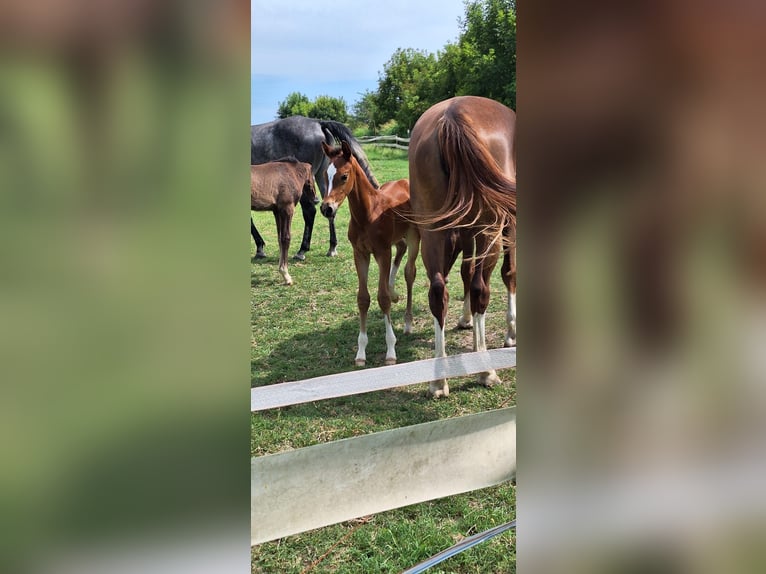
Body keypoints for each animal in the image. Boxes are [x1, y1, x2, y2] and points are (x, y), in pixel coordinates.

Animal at [250, 116, 380, 260]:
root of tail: (318, 122)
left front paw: (259, 247)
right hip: (323, 178)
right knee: (330, 209)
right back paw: (332, 247)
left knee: (310, 212)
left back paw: (302, 250)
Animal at [250, 158, 314, 286]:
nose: (316, 199)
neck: (291, 172)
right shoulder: (287, 209)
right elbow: (286, 238)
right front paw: (286, 275)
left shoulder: (277, 211)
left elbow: (280, 239)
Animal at [320, 140, 424, 366]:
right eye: (325, 174)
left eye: (344, 176)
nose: (326, 209)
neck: (368, 214)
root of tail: (405, 181)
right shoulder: (360, 253)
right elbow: (363, 298)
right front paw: (360, 353)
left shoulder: (382, 252)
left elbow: (382, 298)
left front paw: (391, 350)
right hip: (396, 239)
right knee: (400, 250)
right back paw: (394, 292)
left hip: (414, 235)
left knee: (409, 271)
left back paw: (408, 322)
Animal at [408, 95, 516, 400]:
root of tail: (452, 116)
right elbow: (508, 273)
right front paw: (511, 332)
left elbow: (466, 272)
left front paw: (465, 319)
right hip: (490, 229)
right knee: (481, 288)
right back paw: (486, 371)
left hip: (432, 230)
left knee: (438, 291)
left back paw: (438, 380)